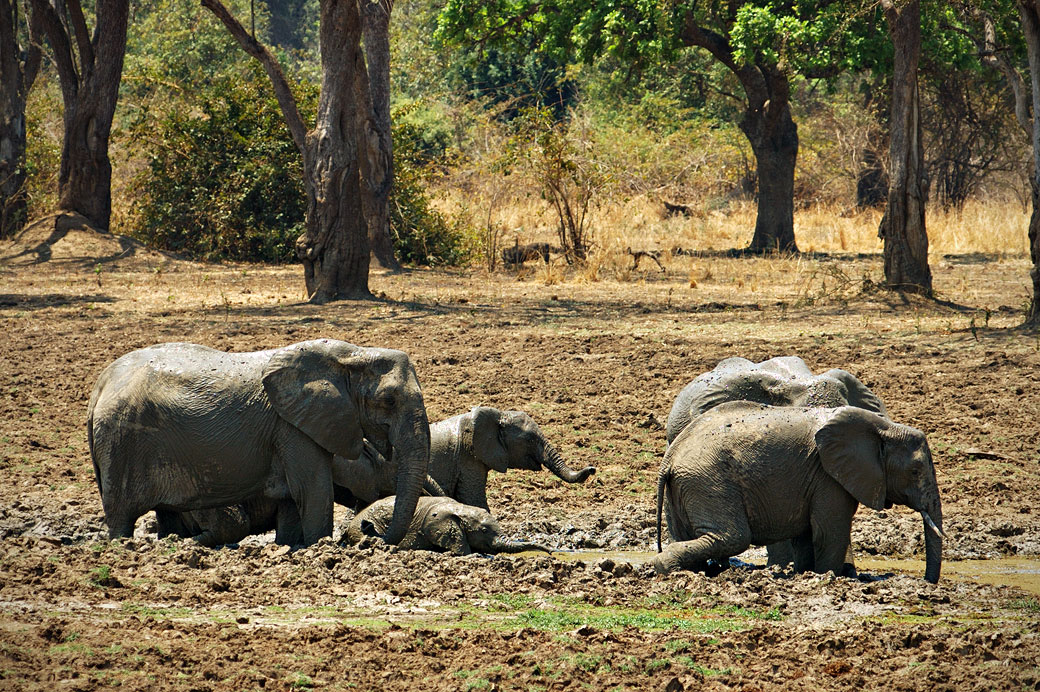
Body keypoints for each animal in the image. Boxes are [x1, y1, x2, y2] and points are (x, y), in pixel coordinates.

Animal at [87, 339, 432, 545]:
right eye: (389, 401)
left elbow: (293, 498)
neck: (350, 355)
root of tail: (99, 388)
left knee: (166, 515)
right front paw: (319, 547)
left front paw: (290, 547)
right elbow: (314, 489)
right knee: (121, 516)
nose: (372, 535)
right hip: (121, 440)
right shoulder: (292, 426)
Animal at [657, 399, 944, 582]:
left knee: (686, 535)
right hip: (708, 479)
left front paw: (804, 575)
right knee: (733, 537)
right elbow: (828, 532)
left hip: (685, 485)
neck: (883, 427)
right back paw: (666, 566)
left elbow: (806, 535)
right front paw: (829, 577)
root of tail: (670, 456)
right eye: (915, 471)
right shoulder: (828, 477)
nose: (927, 583)